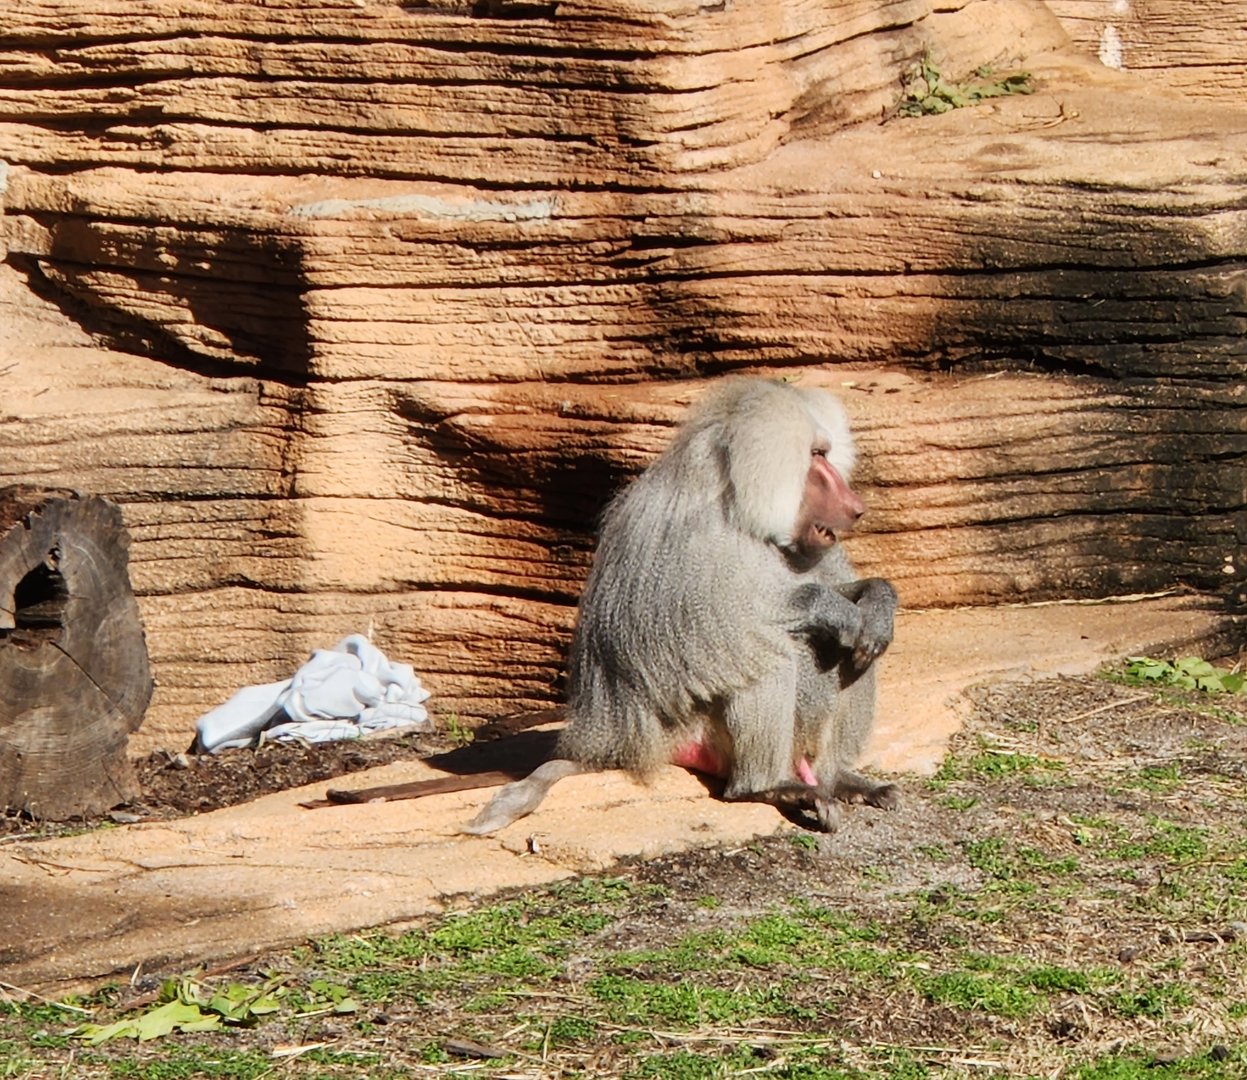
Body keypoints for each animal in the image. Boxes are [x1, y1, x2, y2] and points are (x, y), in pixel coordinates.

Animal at [464, 376, 898, 836]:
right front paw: (832, 608)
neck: (738, 509)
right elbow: (706, 632)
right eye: (816, 455)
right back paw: (768, 786)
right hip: (693, 731)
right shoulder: (685, 542)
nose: (856, 507)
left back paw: (839, 779)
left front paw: (877, 600)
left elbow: (855, 611)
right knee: (762, 652)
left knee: (857, 653)